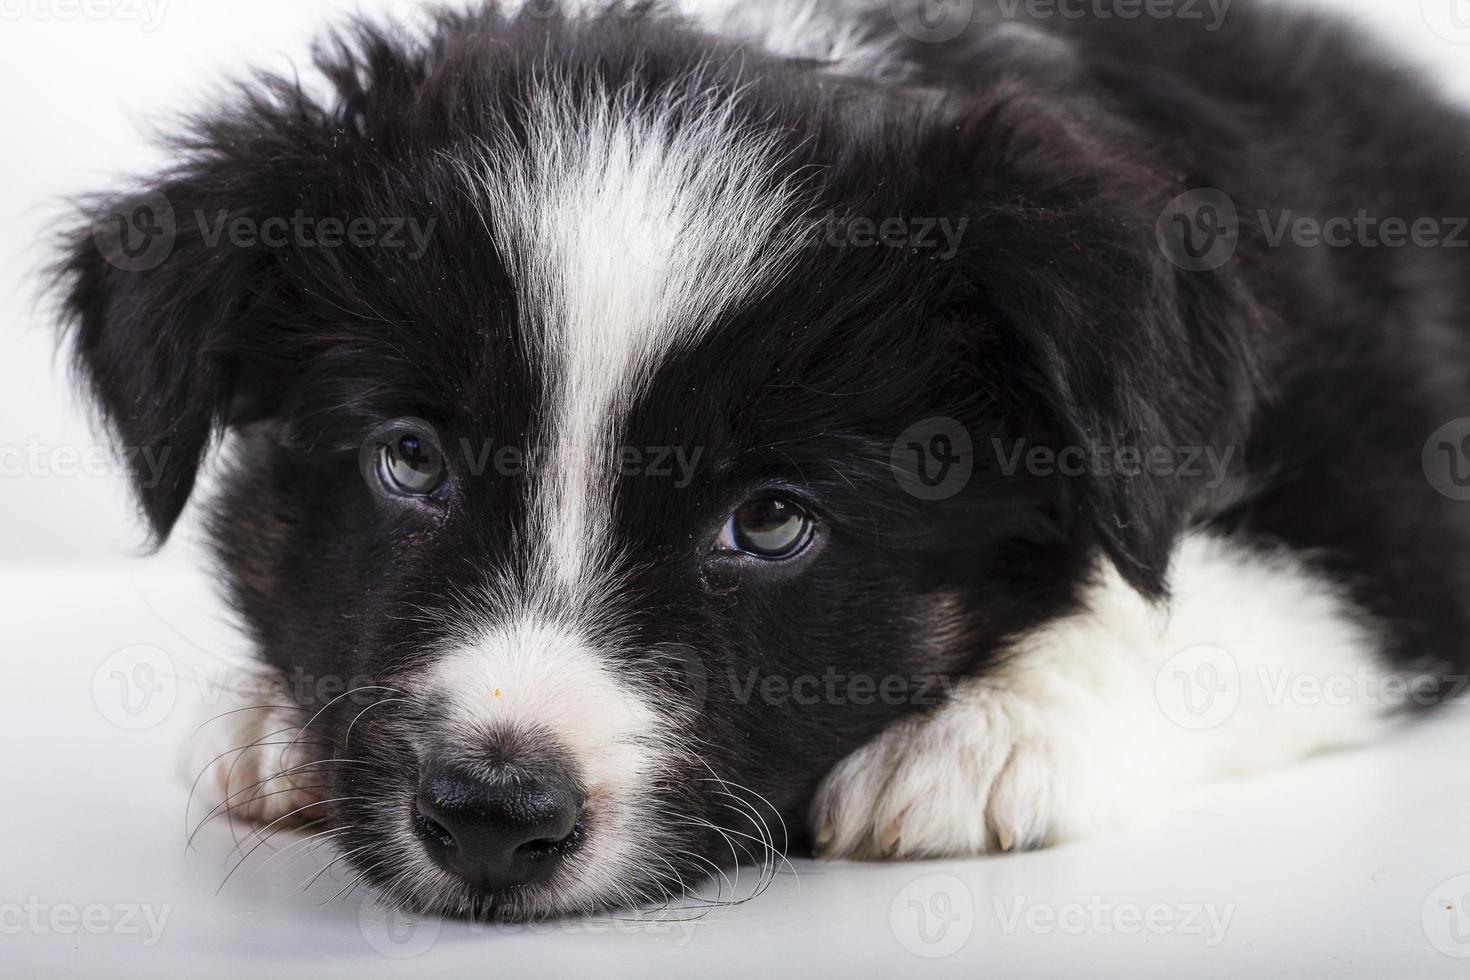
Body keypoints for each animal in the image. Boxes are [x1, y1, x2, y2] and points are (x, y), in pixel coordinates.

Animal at [51, 0, 1470, 922]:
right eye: (409, 460)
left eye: (774, 522)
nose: (495, 813)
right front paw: (273, 716)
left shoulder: (1394, 468)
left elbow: (1218, 586)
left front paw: (993, 730)